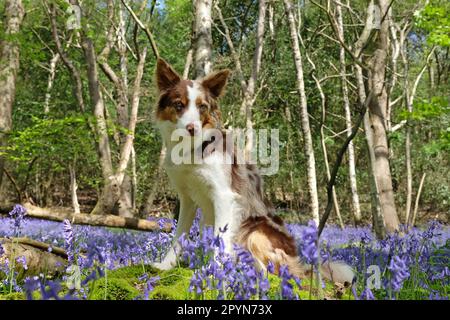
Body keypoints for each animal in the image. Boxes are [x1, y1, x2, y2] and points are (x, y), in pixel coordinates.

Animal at [152, 58, 356, 284]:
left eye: (202, 107)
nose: (192, 128)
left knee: (272, 270)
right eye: (178, 105)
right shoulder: (187, 198)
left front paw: (214, 271)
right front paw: (165, 265)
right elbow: (179, 236)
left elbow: (220, 240)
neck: (193, 150)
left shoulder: (224, 196)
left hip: (255, 232)